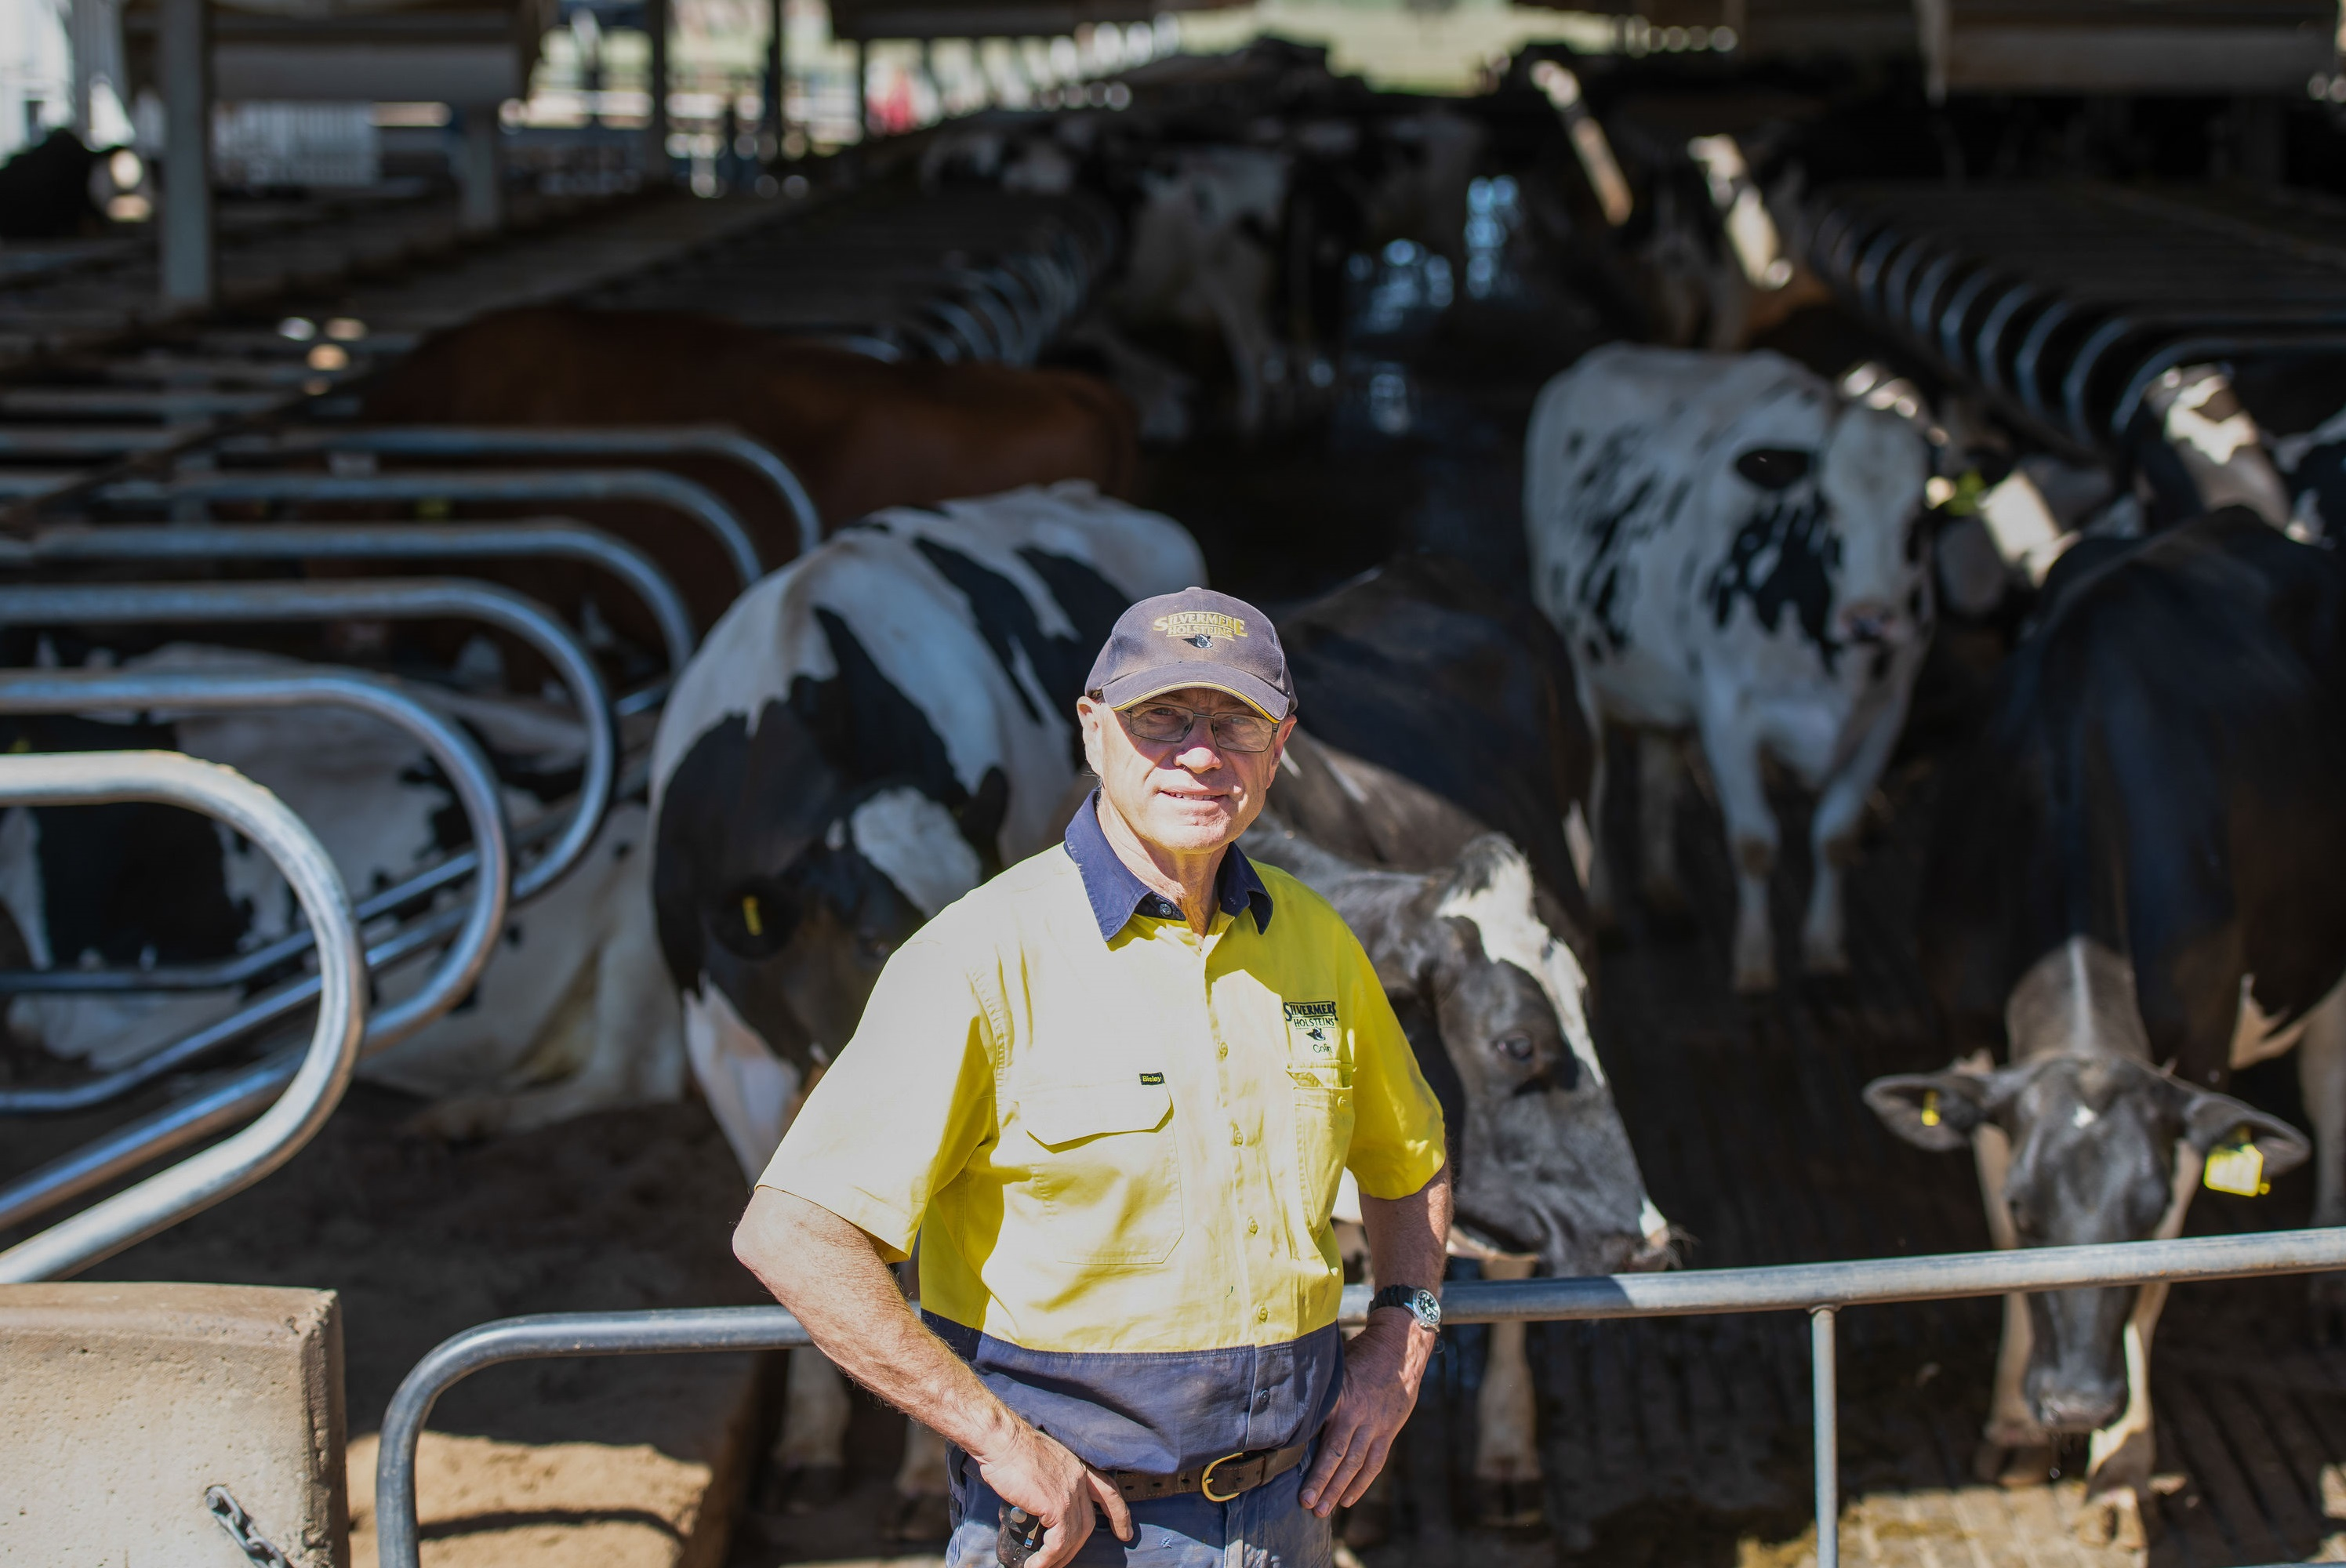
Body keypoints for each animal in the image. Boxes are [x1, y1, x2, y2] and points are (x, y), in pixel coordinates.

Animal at [1529, 350, 1933, 1000]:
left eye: (1920, 515)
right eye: (1826, 506)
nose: (1871, 618)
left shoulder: (1888, 711)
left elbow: (1836, 836)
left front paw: (1825, 954)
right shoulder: (1729, 709)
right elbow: (1754, 843)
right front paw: (1756, 965)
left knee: (1660, 764)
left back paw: (1663, 889)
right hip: (1575, 665)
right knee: (1594, 784)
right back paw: (1607, 909)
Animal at [1867, 511, 2346, 1540]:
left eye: (2145, 1205)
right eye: (2027, 1207)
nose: (2075, 1403)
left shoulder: (2199, 1051)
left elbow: (2158, 1280)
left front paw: (2121, 1463)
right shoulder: (1968, 1036)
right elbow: (1992, 1255)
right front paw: (2012, 1426)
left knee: (2331, 1085)